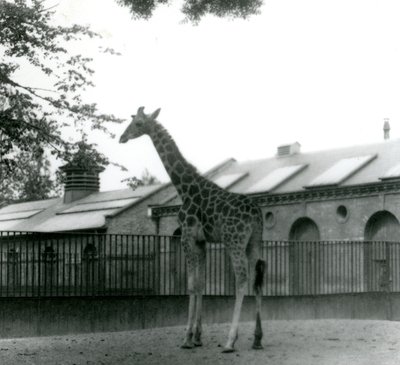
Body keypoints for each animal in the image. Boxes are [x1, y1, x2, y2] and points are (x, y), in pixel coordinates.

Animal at [119, 106, 266, 352]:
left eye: (138, 123)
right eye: (130, 122)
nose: (122, 137)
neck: (185, 189)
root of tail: (256, 214)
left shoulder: (187, 237)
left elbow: (190, 285)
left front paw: (187, 338)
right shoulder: (201, 241)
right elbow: (200, 284)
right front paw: (197, 337)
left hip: (234, 241)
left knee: (241, 279)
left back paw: (230, 340)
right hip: (254, 241)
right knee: (256, 279)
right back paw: (257, 338)